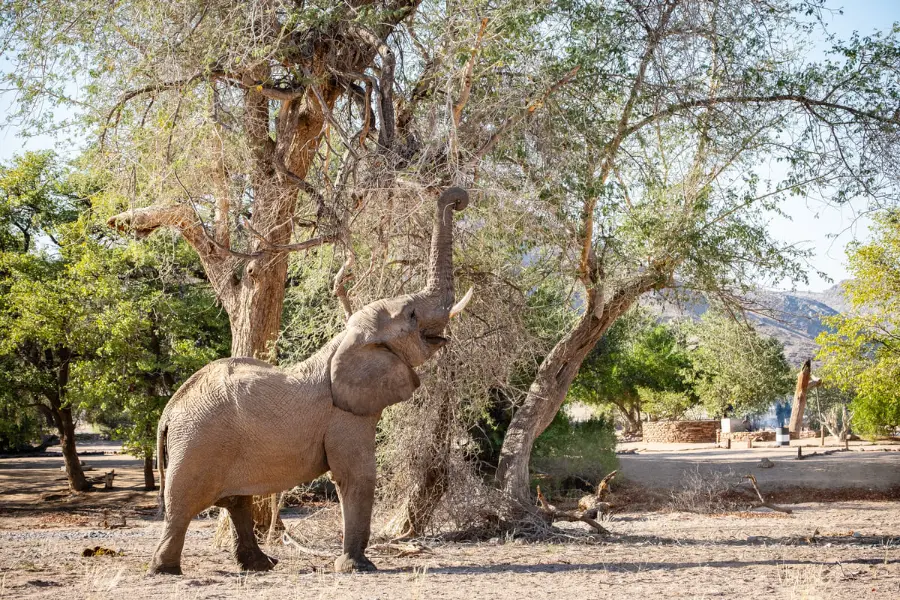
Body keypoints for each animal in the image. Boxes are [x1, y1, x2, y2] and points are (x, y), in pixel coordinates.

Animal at [149, 187, 471, 575]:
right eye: (411, 315)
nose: (458, 199)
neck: (343, 344)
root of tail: (169, 411)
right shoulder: (345, 417)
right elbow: (357, 475)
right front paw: (358, 568)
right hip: (199, 441)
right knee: (183, 505)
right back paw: (166, 570)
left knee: (236, 502)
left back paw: (260, 566)